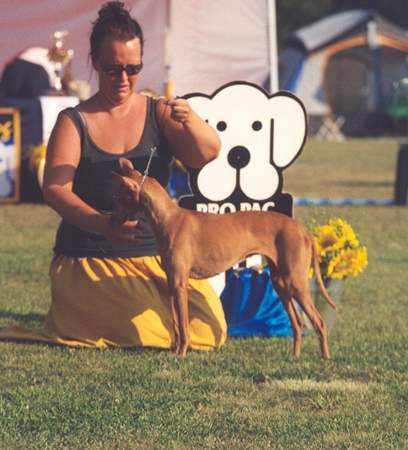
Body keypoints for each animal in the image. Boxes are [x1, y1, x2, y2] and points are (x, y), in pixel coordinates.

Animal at [111, 158, 334, 358]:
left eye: (120, 198)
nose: (110, 219)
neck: (169, 218)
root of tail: (302, 229)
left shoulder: (180, 284)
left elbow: (183, 325)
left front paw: (181, 354)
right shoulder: (172, 283)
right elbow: (175, 324)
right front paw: (175, 352)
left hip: (295, 282)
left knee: (320, 322)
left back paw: (325, 358)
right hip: (280, 282)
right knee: (297, 323)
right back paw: (295, 357)